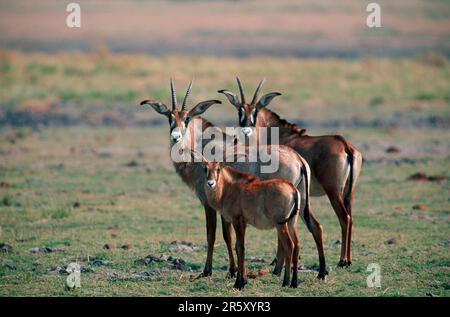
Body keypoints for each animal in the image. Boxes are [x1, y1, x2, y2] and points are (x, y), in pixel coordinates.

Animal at [220, 77, 364, 266]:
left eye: (255, 112)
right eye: (240, 111)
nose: (245, 131)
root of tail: (344, 145)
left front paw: (277, 260)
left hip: (333, 191)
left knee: (344, 219)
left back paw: (343, 260)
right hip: (349, 192)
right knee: (351, 218)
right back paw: (349, 259)